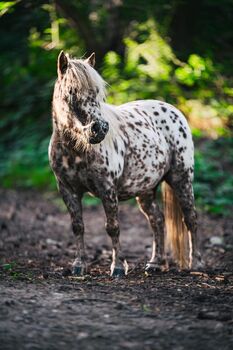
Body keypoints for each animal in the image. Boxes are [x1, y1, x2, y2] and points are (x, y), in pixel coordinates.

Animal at [49, 51, 202, 276]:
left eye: (98, 93)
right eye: (71, 92)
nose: (100, 129)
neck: (76, 150)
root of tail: (173, 110)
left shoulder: (107, 189)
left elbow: (113, 227)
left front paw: (119, 267)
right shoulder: (68, 189)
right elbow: (78, 226)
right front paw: (79, 265)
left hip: (181, 179)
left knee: (190, 218)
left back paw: (196, 263)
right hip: (146, 189)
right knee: (157, 220)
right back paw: (156, 263)